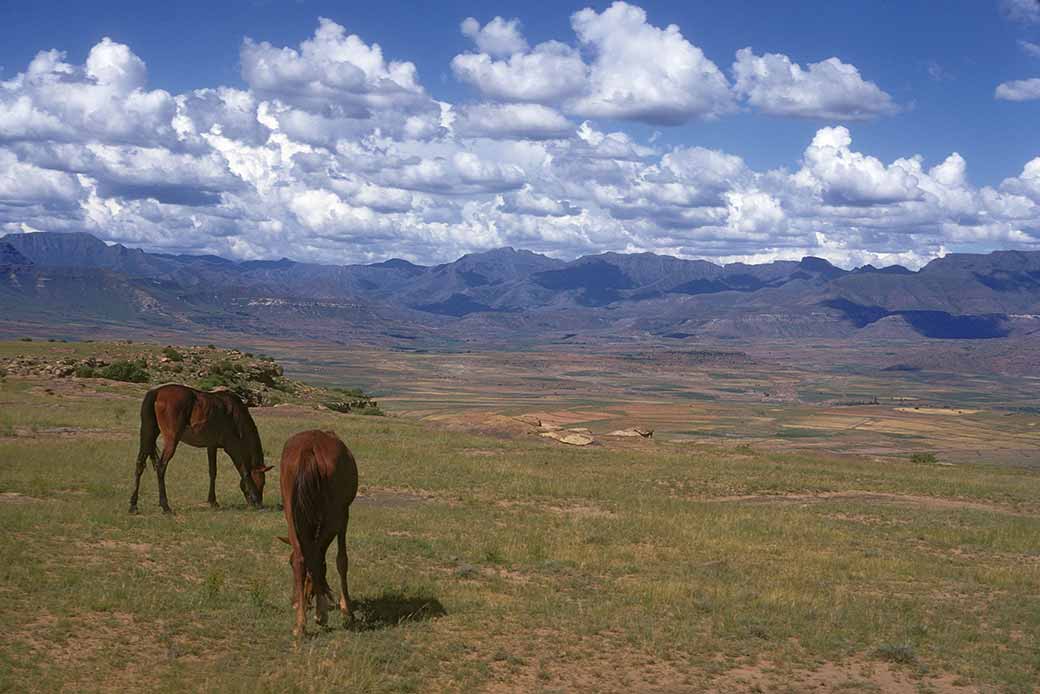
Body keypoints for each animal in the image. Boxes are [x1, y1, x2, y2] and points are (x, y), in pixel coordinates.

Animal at [130, 382, 272, 513]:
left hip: (149, 435)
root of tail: (157, 392)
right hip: (171, 440)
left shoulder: (211, 446)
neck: (235, 415)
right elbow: (244, 471)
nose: (260, 502)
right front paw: (254, 500)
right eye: (263, 482)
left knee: (140, 464)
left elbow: (213, 472)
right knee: (161, 467)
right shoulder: (233, 447)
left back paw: (133, 505)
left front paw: (213, 501)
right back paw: (165, 506)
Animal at [278, 428, 359, 640]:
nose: (295, 601)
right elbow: (341, 560)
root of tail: (309, 448)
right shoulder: (343, 517)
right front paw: (346, 608)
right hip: (333, 515)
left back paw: (300, 623)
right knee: (315, 554)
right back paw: (321, 613)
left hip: (290, 513)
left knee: (302, 557)